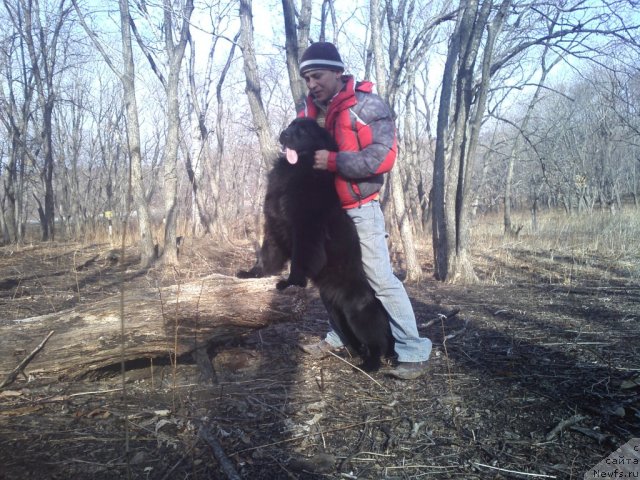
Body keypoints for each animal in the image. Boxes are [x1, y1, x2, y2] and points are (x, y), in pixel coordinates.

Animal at [238, 117, 392, 372]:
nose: (283, 134)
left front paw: (289, 282)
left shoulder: (305, 231)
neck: (297, 169)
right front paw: (251, 274)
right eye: (291, 125)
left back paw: (369, 365)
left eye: (302, 131)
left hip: (358, 314)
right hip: (337, 312)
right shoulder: (274, 227)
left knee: (377, 341)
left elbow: (300, 261)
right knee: (356, 340)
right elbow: (267, 256)